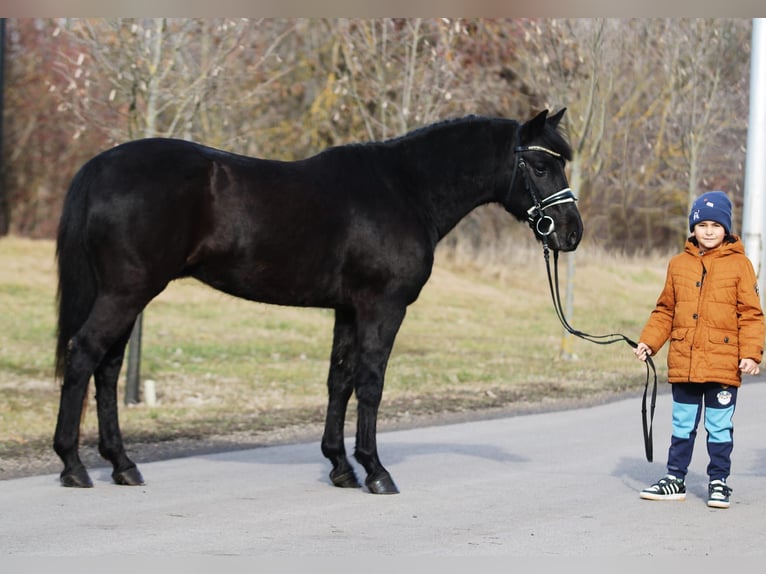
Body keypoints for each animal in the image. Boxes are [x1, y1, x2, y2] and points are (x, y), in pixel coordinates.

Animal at [54, 109, 584, 496]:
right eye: (541, 165)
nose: (572, 232)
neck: (406, 189)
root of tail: (99, 167)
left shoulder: (347, 310)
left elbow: (339, 381)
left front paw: (340, 467)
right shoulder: (381, 308)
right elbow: (370, 384)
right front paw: (375, 471)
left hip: (127, 294)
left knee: (107, 367)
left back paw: (122, 465)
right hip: (127, 291)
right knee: (84, 355)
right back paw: (73, 465)